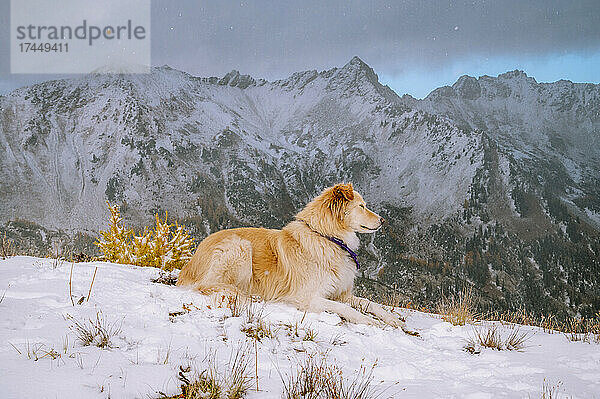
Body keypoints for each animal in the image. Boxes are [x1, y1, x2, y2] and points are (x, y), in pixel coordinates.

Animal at [177, 184, 404, 328]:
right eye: (361, 206)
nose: (383, 221)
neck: (327, 237)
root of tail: (190, 263)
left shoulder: (340, 293)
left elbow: (369, 303)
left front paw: (393, 319)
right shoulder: (307, 298)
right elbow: (346, 309)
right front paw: (370, 321)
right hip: (239, 247)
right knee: (207, 285)